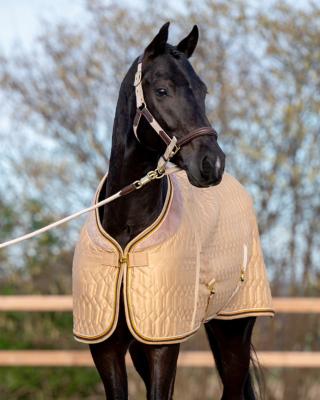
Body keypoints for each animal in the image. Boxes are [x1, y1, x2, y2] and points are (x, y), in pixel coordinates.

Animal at [90, 22, 258, 400]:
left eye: (203, 91)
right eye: (163, 89)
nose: (212, 163)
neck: (127, 232)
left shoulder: (163, 345)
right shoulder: (108, 348)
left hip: (234, 331)